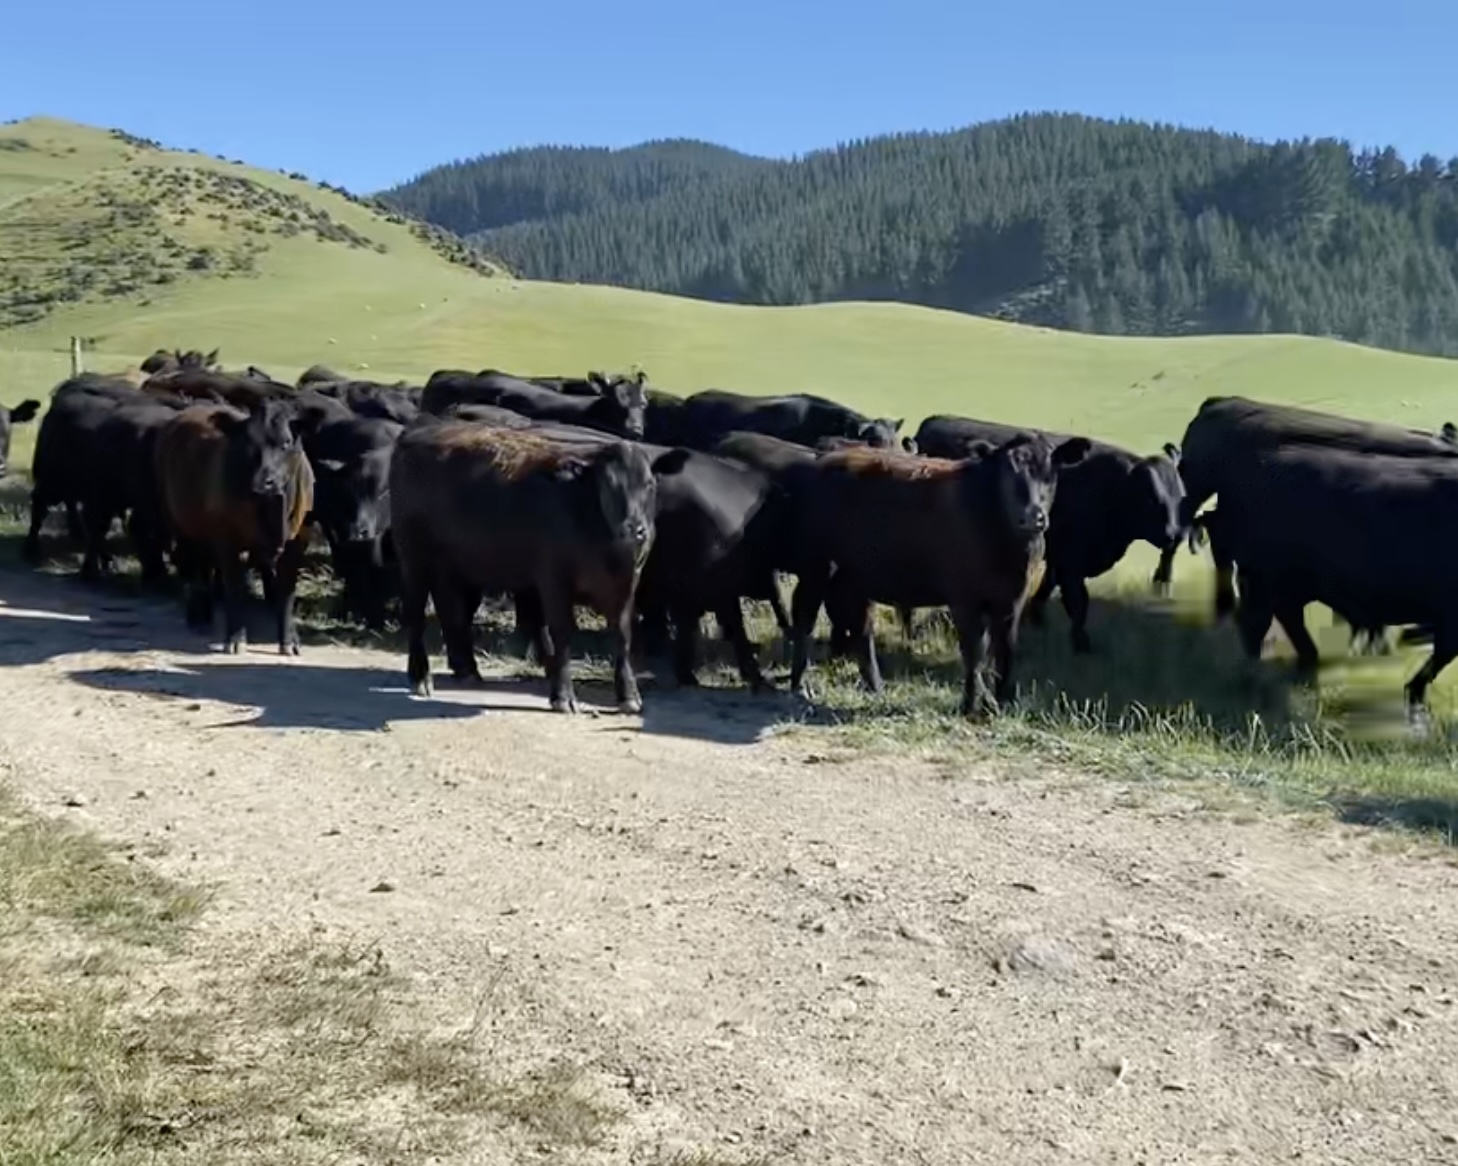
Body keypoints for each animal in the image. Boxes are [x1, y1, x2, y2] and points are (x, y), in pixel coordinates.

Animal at [154, 399, 314, 655]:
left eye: (286, 442)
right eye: (248, 444)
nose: (262, 483)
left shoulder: (298, 541)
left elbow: (286, 592)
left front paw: (289, 641)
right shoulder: (227, 539)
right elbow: (234, 587)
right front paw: (235, 638)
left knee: (204, 565)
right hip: (179, 522)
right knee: (192, 566)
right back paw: (197, 616)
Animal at [388, 421, 662, 713]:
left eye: (649, 485)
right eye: (609, 485)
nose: (635, 530)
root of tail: (420, 429)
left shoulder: (626, 584)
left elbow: (622, 635)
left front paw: (628, 694)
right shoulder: (554, 580)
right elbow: (562, 633)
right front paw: (563, 695)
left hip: (451, 562)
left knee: (450, 607)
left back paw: (467, 669)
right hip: (414, 557)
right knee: (416, 613)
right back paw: (420, 676)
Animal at [782, 434, 1091, 717]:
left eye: (1049, 472)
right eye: (1007, 472)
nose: (1032, 517)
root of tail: (826, 458)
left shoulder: (1012, 599)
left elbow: (1005, 651)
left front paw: (1001, 704)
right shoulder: (964, 597)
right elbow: (975, 651)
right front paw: (969, 706)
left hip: (853, 576)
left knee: (860, 625)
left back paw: (876, 686)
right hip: (817, 566)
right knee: (806, 618)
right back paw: (799, 684)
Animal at [915, 414, 1185, 652]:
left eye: (1181, 496)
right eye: (1152, 498)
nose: (1175, 534)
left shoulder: (1058, 555)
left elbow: (1047, 586)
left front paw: (1038, 619)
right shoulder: (1071, 563)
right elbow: (1078, 603)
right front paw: (1081, 644)